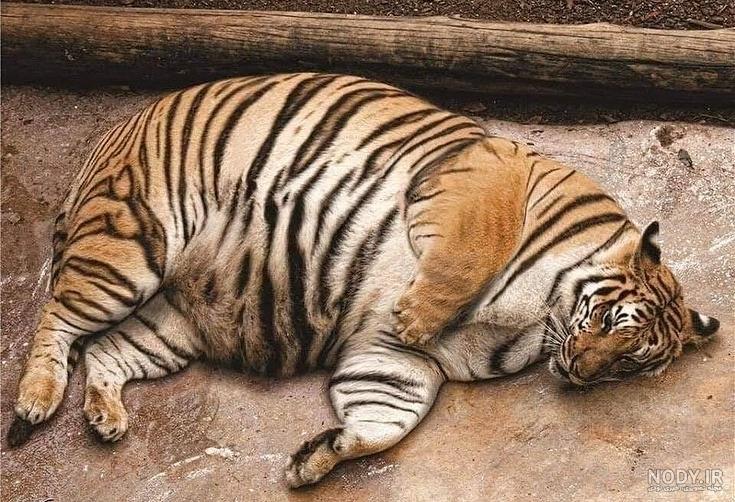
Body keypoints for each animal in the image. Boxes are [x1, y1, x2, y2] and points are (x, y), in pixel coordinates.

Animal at [9, 73, 720, 488]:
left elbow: (385, 418)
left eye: (630, 364)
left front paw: (316, 457)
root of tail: (110, 136)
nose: (579, 373)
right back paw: (35, 402)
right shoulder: (480, 176)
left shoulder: (401, 363)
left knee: (104, 351)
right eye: (608, 321)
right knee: (56, 319)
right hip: (130, 248)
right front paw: (417, 312)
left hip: (170, 323)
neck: (538, 321)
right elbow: (468, 252)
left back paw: (104, 417)